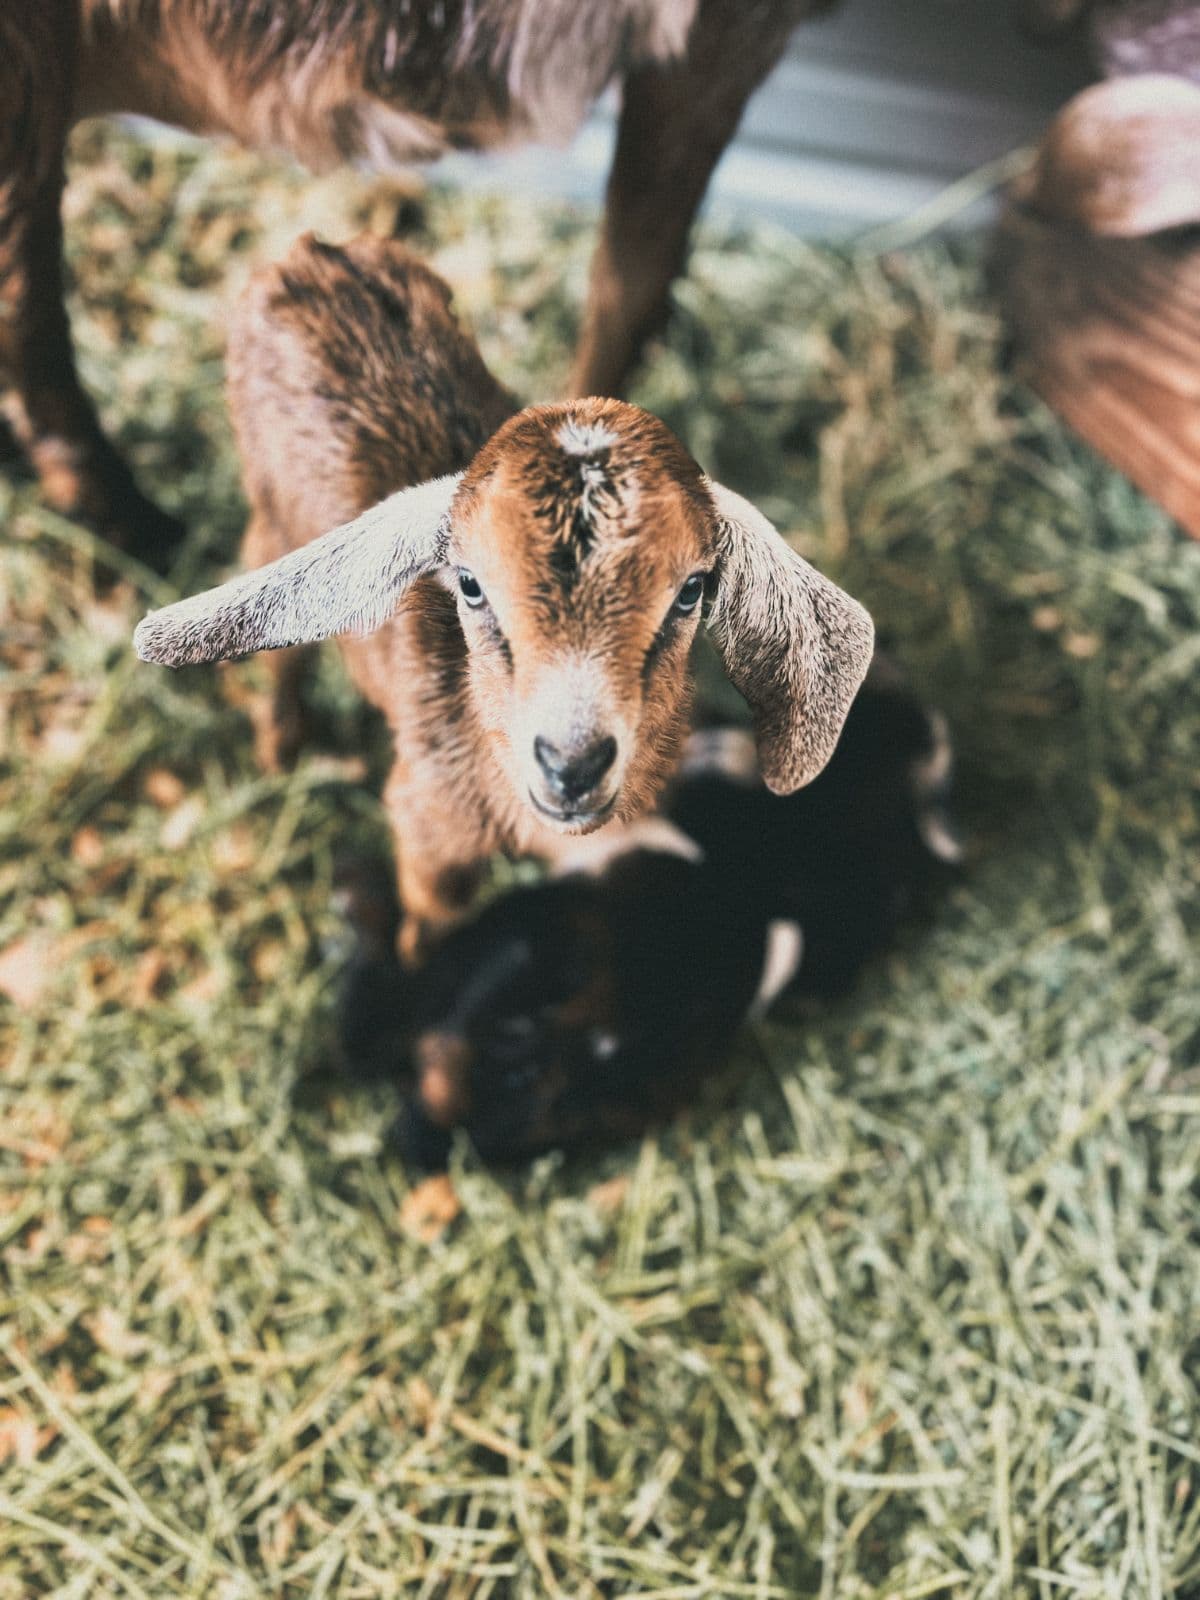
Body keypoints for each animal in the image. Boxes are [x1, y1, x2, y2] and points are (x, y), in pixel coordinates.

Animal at [134, 233, 873, 955]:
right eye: (470, 583)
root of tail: (311, 250)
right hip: (269, 513)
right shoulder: (429, 830)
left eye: (692, 589)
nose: (572, 764)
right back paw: (283, 753)